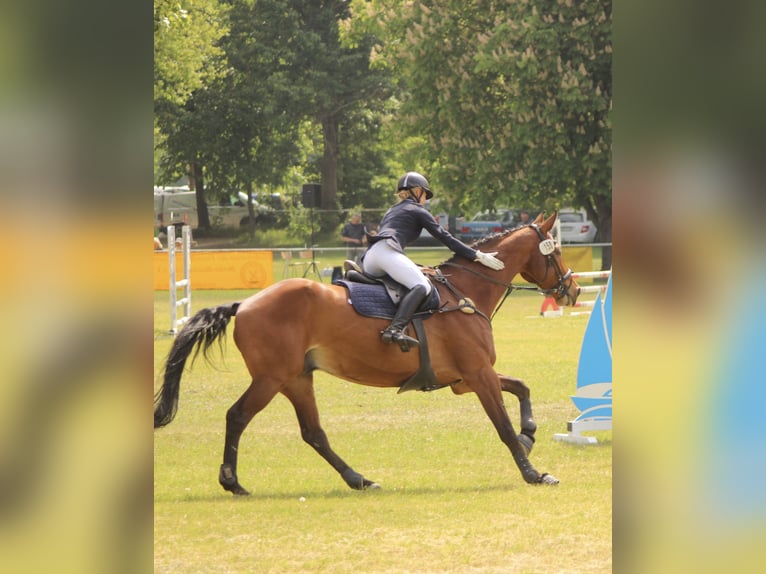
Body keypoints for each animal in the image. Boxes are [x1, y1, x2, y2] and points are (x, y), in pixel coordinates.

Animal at [154, 212, 580, 494]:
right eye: (556, 251)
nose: (572, 291)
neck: (465, 291)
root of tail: (244, 304)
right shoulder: (477, 374)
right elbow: (503, 426)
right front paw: (534, 472)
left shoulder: (465, 379)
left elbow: (521, 387)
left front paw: (529, 434)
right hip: (272, 378)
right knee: (238, 416)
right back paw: (233, 482)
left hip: (297, 378)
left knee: (313, 433)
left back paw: (359, 479)